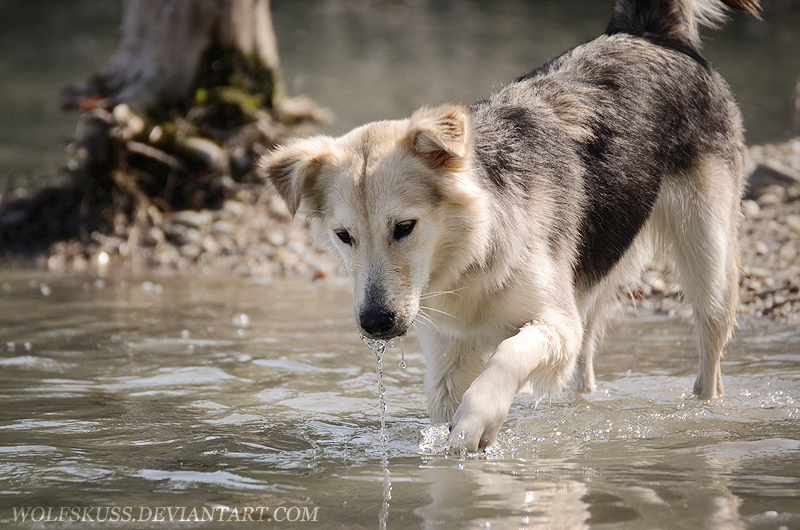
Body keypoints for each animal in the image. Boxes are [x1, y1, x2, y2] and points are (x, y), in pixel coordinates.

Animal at [262, 0, 764, 450]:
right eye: (344, 237)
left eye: (404, 227)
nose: (375, 323)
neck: (471, 256)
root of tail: (646, 32)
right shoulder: (447, 357)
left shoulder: (555, 323)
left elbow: (507, 354)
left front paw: (478, 420)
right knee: (585, 368)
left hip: (708, 260)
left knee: (709, 364)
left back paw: (705, 417)